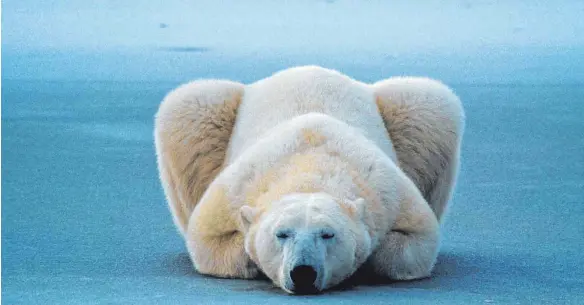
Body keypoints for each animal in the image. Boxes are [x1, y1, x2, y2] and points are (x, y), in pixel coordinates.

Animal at [155, 65, 466, 294]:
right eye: (281, 234)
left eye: (327, 234)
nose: (303, 272)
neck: (309, 167)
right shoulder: (236, 190)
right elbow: (206, 240)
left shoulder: (387, 191)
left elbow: (418, 240)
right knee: (188, 106)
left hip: (407, 112)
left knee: (429, 104)